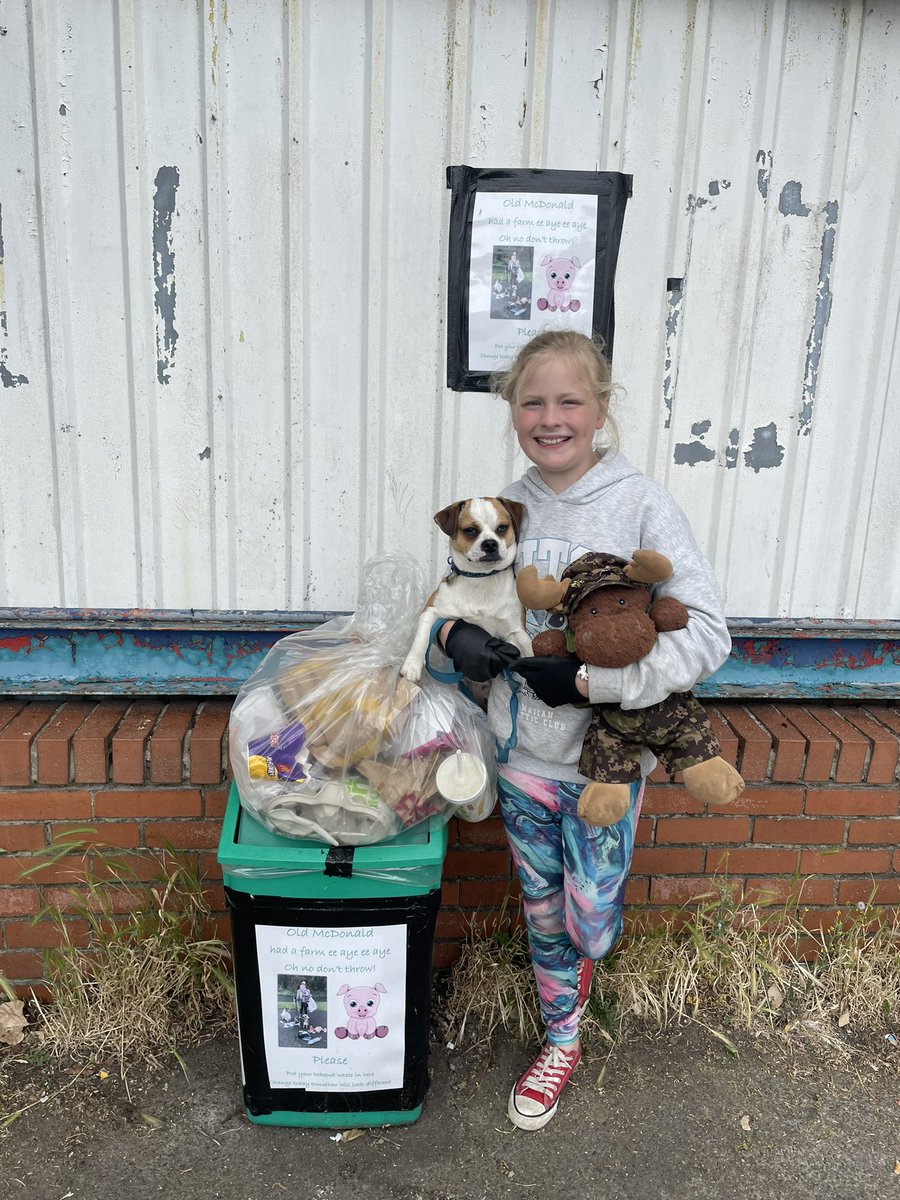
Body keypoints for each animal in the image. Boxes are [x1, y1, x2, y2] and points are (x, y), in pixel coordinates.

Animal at [400, 499, 532, 686]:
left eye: (502, 528)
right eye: (470, 530)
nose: (490, 544)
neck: (481, 578)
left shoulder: (516, 630)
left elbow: (530, 648)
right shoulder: (432, 609)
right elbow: (422, 636)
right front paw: (412, 665)